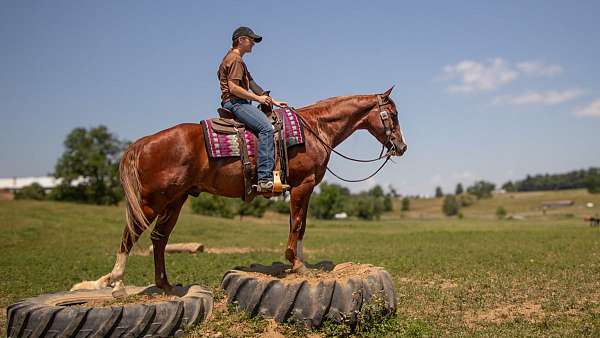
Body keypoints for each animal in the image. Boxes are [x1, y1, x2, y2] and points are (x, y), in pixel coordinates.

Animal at [72, 87, 406, 296]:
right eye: (393, 114)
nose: (401, 147)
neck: (315, 129)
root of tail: (145, 142)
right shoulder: (304, 184)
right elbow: (298, 223)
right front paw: (296, 264)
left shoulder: (302, 188)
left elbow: (299, 226)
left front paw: (301, 263)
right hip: (152, 200)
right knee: (131, 234)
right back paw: (115, 283)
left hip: (177, 199)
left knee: (159, 238)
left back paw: (165, 286)